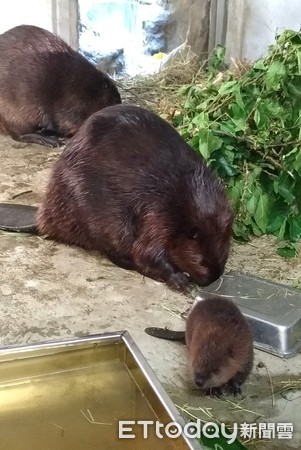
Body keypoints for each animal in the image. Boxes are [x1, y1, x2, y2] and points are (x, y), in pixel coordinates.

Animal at [0, 104, 232, 290]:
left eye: (224, 251)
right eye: (200, 260)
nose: (211, 278)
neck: (189, 194)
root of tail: (42, 217)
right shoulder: (159, 214)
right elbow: (146, 252)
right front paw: (181, 280)